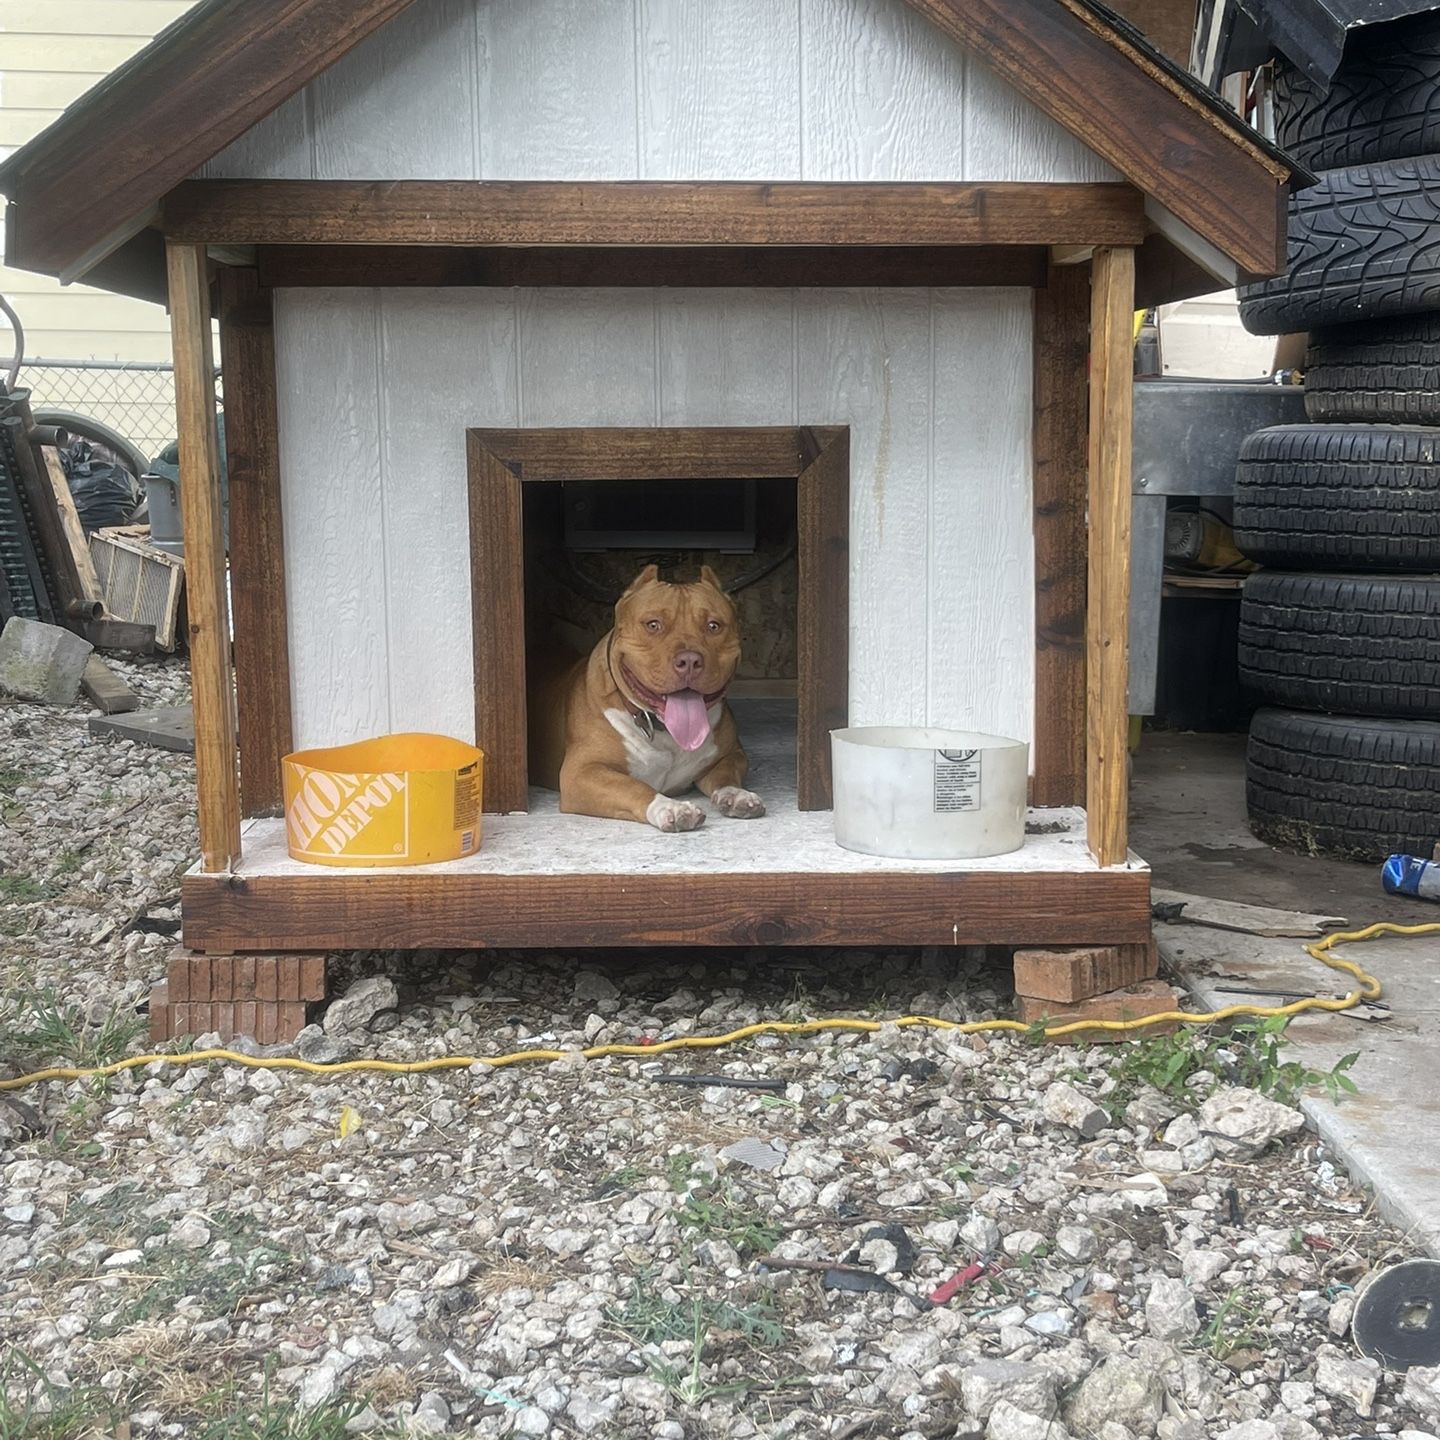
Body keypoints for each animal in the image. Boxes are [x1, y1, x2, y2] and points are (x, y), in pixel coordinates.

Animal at [529, 561, 766, 835]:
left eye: (713, 626)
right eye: (653, 625)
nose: (689, 660)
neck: (663, 730)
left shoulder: (731, 754)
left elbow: (726, 774)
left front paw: (736, 794)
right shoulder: (580, 773)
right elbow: (632, 786)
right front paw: (670, 806)